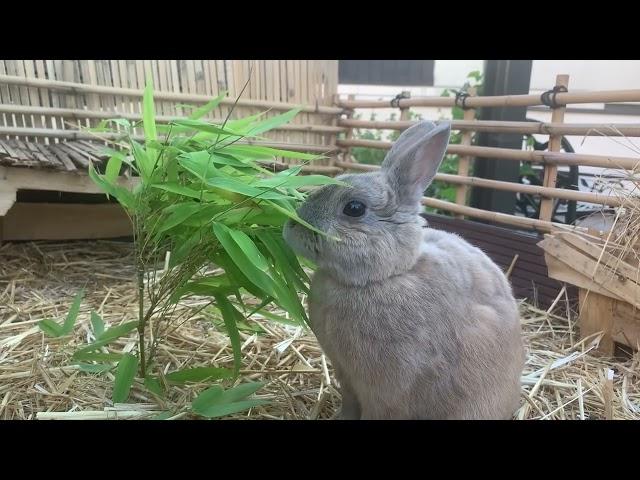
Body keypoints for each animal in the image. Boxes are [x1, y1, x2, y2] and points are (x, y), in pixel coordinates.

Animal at [282, 121, 524, 420]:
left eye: (354, 208)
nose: (290, 225)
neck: (385, 276)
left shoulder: (384, 392)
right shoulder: (346, 377)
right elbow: (349, 403)